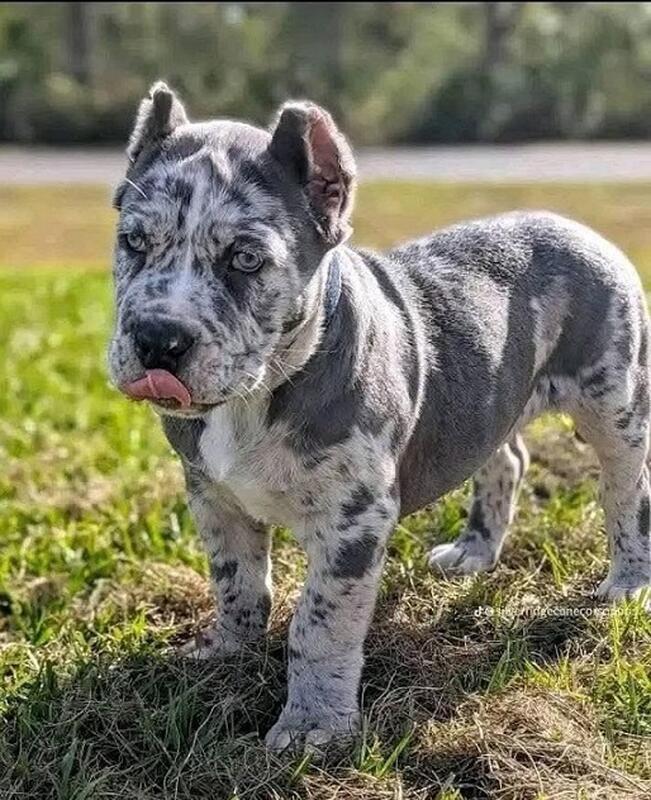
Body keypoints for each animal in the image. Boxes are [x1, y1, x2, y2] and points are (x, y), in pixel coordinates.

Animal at [109, 82, 651, 751]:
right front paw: (226, 652)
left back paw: (627, 583)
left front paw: (312, 728)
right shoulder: (213, 495)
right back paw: (474, 553)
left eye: (245, 259)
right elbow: (236, 583)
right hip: (488, 401)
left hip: (614, 405)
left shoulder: (353, 521)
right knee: (504, 459)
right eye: (134, 242)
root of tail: (578, 228)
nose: (158, 338)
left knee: (625, 492)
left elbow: (319, 626)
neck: (258, 393)